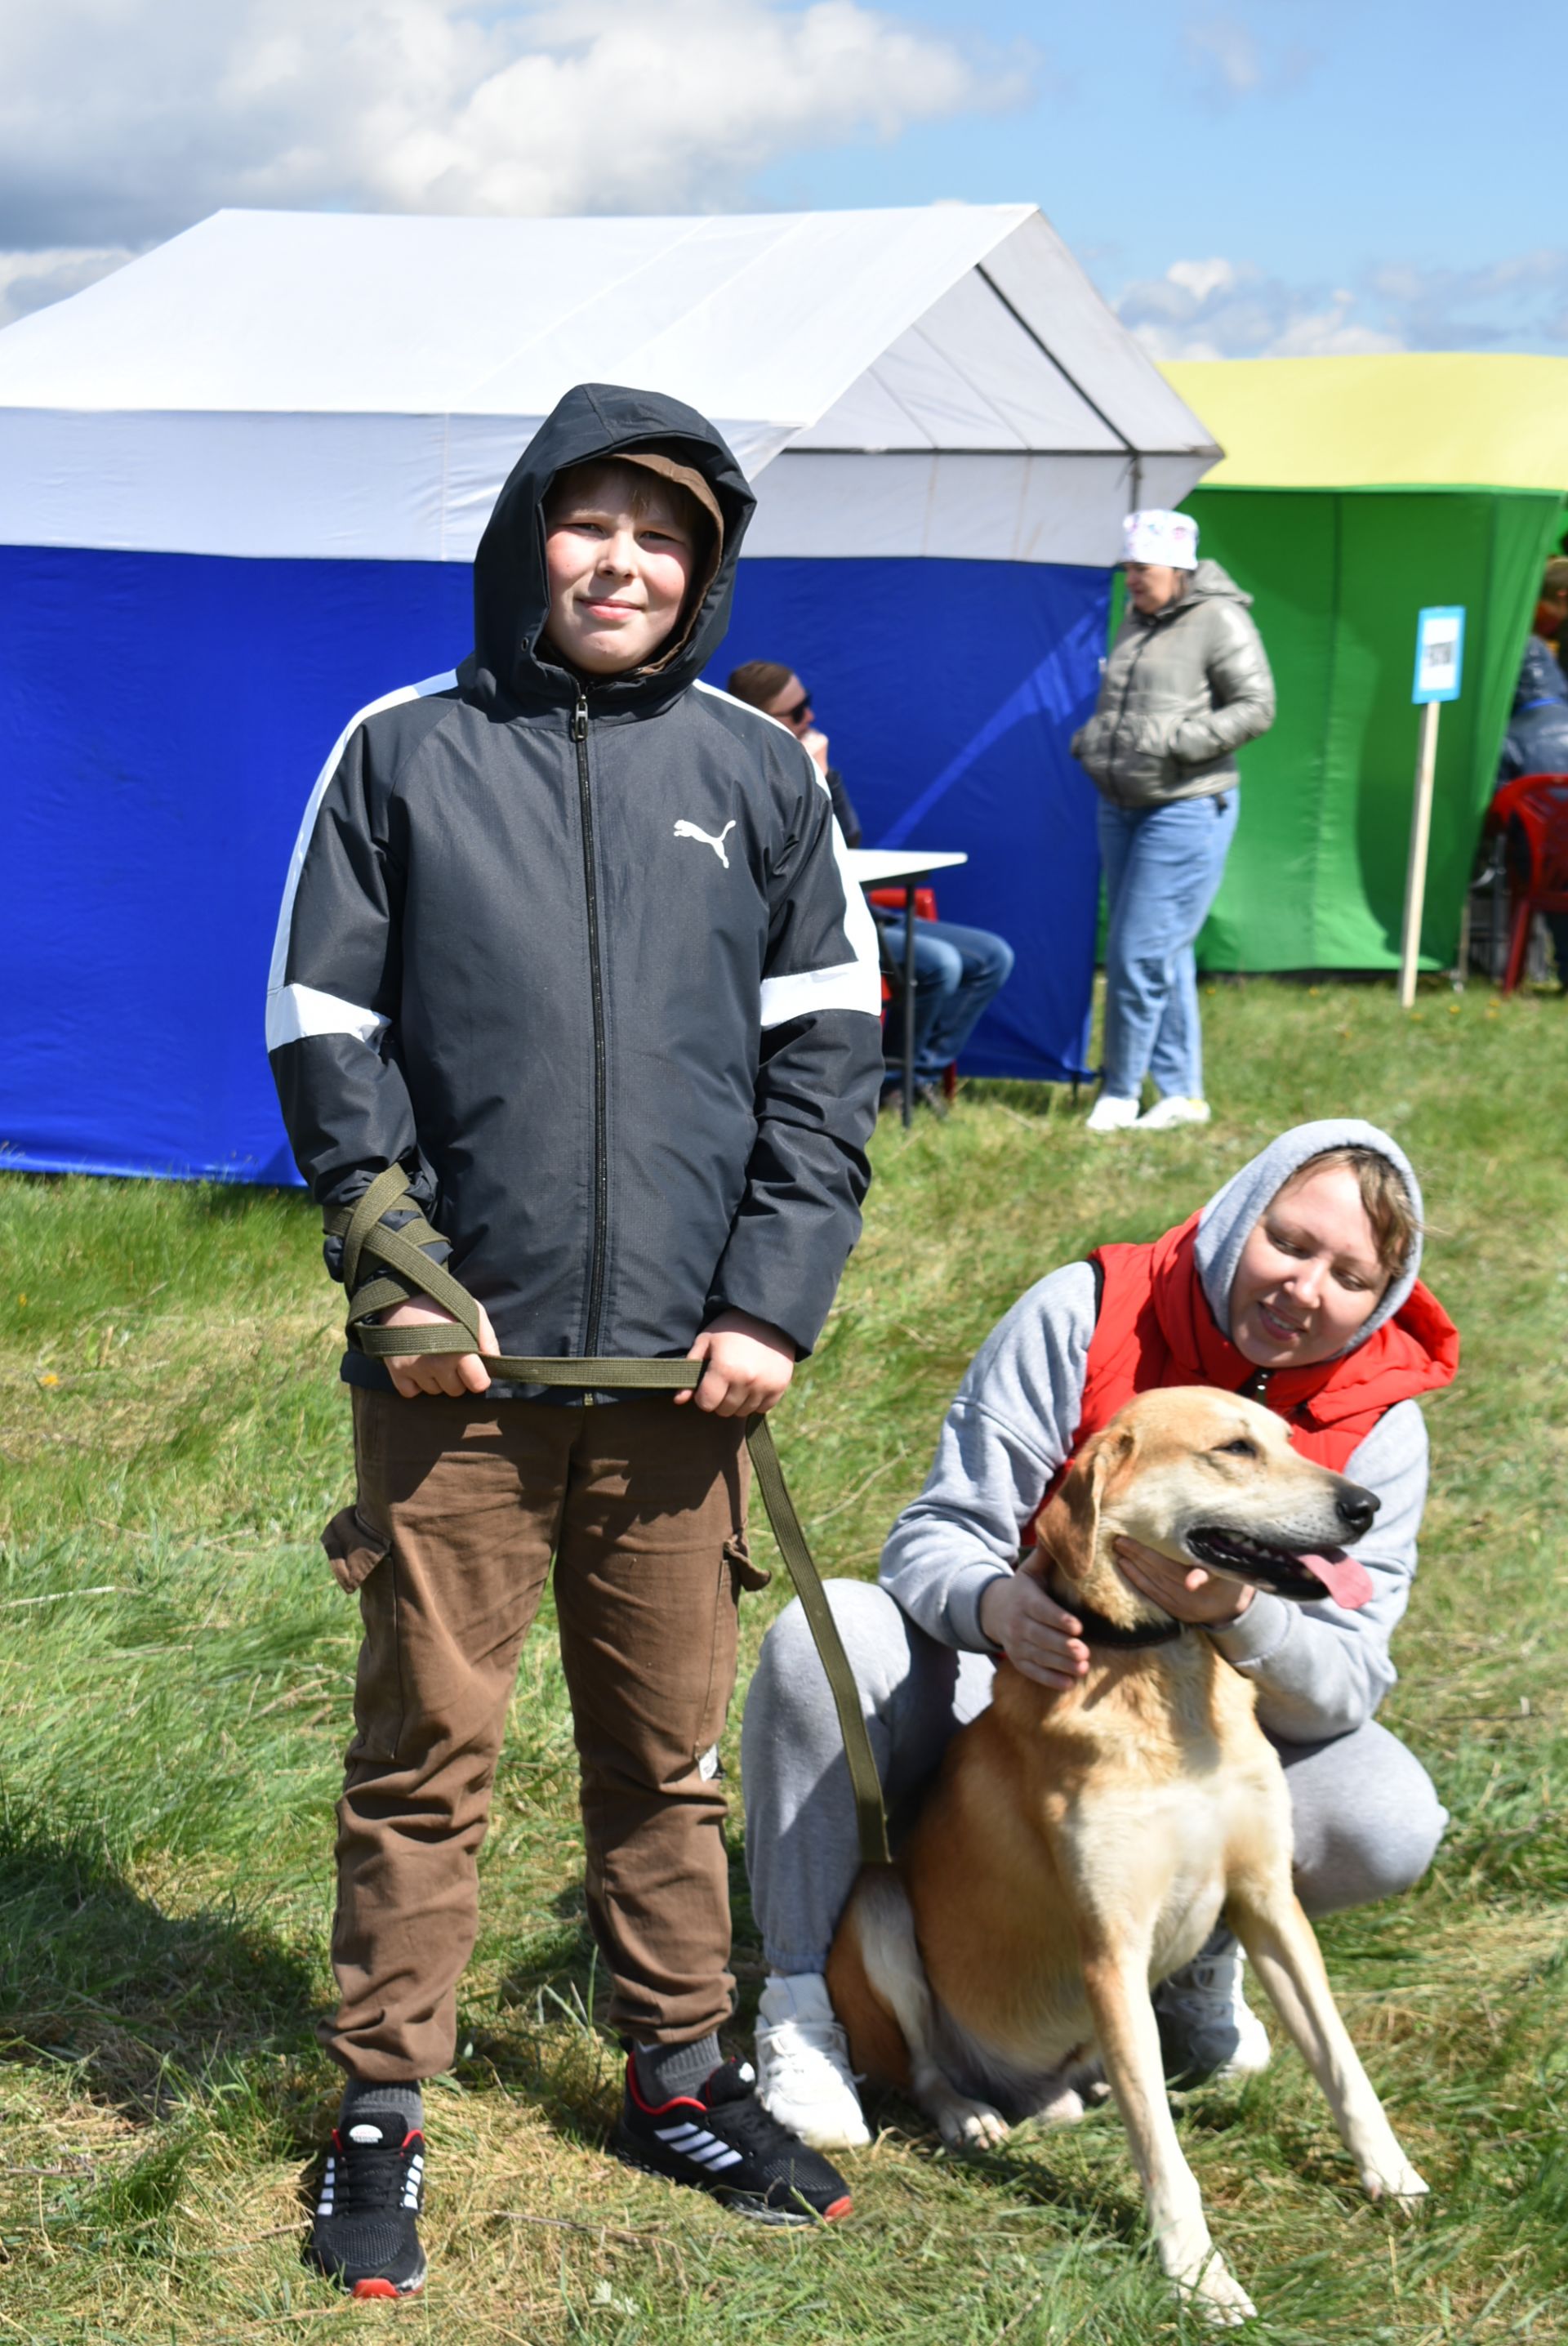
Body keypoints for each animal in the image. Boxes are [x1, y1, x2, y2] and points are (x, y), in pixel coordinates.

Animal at [825, 1379, 1424, 2317]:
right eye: (1235, 1448)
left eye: (1290, 1439)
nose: (1366, 1506)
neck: (1162, 1674)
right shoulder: (1111, 1949)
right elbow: (1164, 2155)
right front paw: (1199, 2275)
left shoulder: (1270, 1906)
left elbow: (1343, 2065)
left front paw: (1391, 2179)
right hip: (879, 1907)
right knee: (923, 2070)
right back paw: (969, 2114)